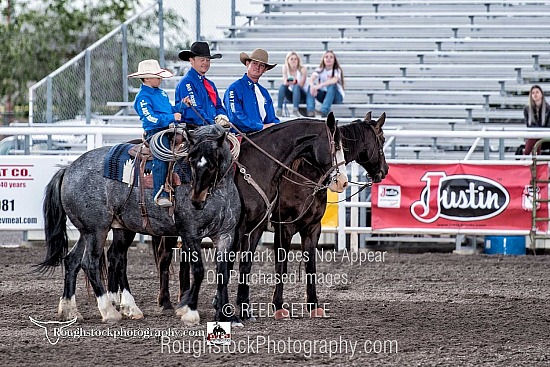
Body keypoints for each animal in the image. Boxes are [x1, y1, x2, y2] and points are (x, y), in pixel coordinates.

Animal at [36, 124, 239, 324]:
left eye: (212, 164)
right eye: (190, 161)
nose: (196, 201)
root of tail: (68, 168)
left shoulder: (226, 235)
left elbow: (223, 272)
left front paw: (226, 315)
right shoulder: (190, 234)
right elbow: (198, 270)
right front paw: (190, 311)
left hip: (92, 231)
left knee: (74, 260)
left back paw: (70, 311)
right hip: (97, 230)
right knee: (90, 263)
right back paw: (109, 311)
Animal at [106, 115, 348, 324]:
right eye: (335, 147)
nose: (343, 181)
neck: (258, 167)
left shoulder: (268, 227)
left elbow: (249, 265)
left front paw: (245, 309)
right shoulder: (269, 228)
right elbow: (239, 265)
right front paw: (229, 308)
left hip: (127, 226)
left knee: (116, 256)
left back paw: (123, 303)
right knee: (154, 258)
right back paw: (157, 303)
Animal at [270, 110, 390, 320]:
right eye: (382, 140)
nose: (385, 170)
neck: (301, 175)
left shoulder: (312, 228)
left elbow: (311, 266)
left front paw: (313, 305)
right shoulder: (284, 228)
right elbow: (281, 266)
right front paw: (278, 306)